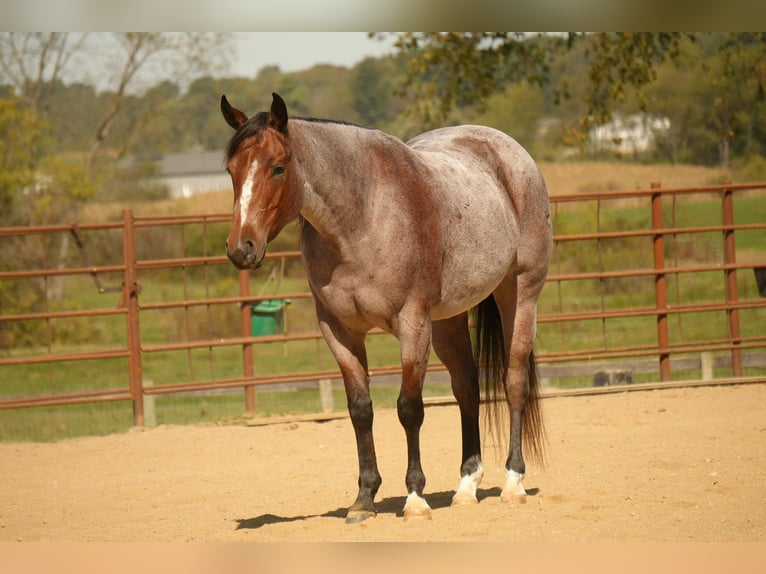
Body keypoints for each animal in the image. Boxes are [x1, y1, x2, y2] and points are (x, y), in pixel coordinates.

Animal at [220, 92, 552, 523]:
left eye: (278, 167)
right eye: (231, 169)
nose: (240, 248)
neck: (363, 217)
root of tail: (509, 151)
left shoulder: (412, 324)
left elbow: (409, 408)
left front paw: (414, 498)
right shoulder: (339, 331)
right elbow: (360, 409)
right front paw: (364, 498)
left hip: (520, 292)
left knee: (514, 382)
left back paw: (513, 482)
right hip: (447, 321)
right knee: (467, 387)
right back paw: (466, 487)